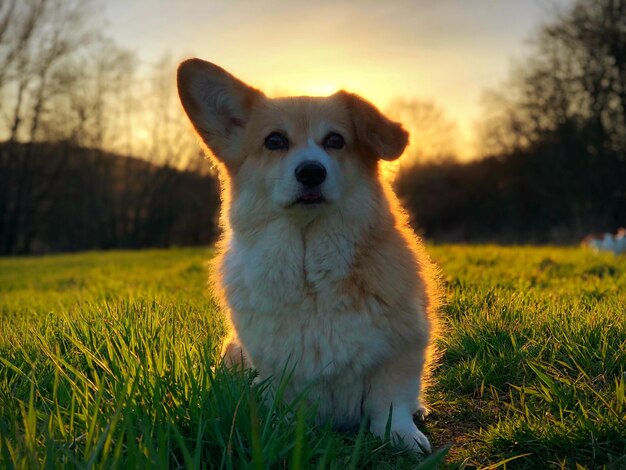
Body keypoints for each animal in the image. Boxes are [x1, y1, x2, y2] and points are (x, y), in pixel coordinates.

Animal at [176, 57, 438, 452]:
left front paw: (403, 436)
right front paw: (283, 431)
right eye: (274, 141)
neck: (309, 268)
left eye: (335, 141)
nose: (311, 172)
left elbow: (390, 402)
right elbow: (285, 404)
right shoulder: (277, 370)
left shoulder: (401, 349)